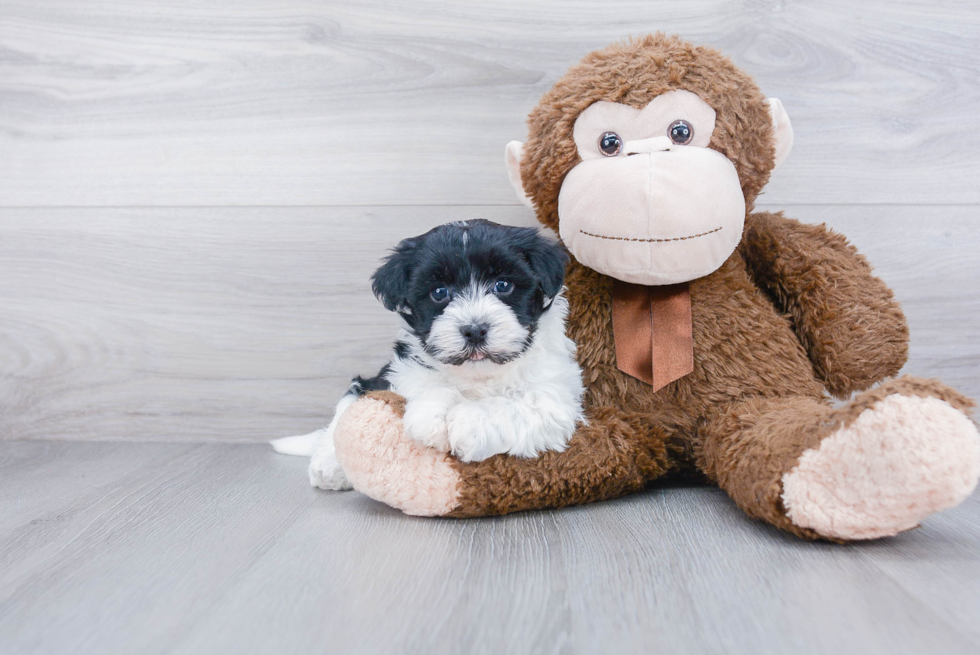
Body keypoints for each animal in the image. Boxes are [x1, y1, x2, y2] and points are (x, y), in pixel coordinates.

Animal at [272, 220, 584, 492]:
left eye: (503, 285)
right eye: (439, 292)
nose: (474, 330)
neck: (478, 373)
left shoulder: (554, 396)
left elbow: (513, 406)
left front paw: (469, 423)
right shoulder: (400, 371)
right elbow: (425, 386)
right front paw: (431, 415)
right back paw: (328, 467)